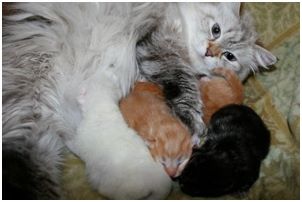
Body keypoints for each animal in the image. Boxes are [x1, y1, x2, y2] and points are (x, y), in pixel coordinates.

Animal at [2, 2, 276, 200]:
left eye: (230, 56)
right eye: (215, 30)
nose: (210, 52)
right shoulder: (156, 43)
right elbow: (183, 84)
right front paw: (193, 124)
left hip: (36, 134)